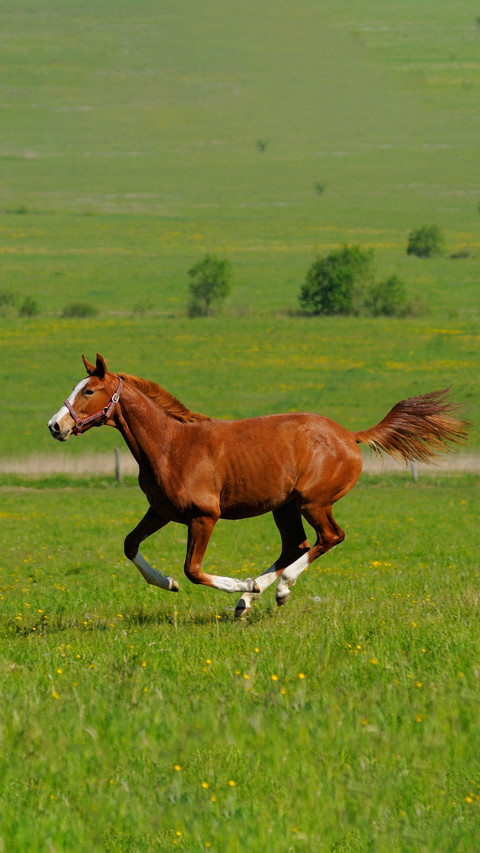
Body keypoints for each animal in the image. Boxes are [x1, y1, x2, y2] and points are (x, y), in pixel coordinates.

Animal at [48, 354, 467, 617]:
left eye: (88, 391)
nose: (56, 426)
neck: (171, 447)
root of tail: (349, 435)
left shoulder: (204, 516)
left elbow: (193, 569)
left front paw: (237, 584)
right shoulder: (161, 511)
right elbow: (130, 544)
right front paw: (168, 583)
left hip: (312, 502)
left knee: (329, 537)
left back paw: (276, 589)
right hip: (284, 507)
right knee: (295, 545)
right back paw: (252, 597)